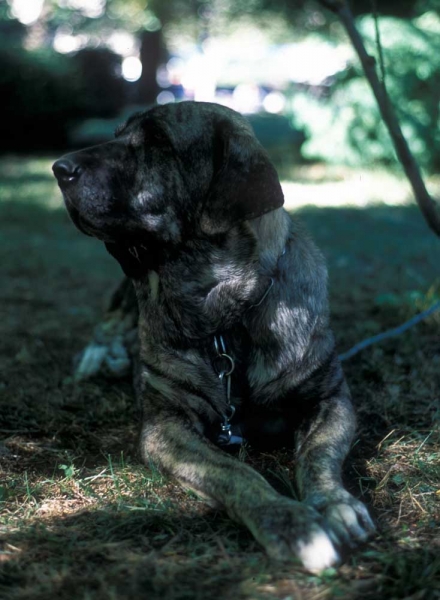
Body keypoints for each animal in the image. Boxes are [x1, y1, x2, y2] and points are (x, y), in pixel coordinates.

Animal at [52, 102, 374, 572]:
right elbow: (237, 472)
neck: (226, 315)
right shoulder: (167, 426)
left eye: (157, 142)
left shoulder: (330, 397)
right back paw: (101, 355)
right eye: (116, 135)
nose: (59, 167)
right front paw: (291, 523)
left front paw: (336, 504)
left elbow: (319, 455)